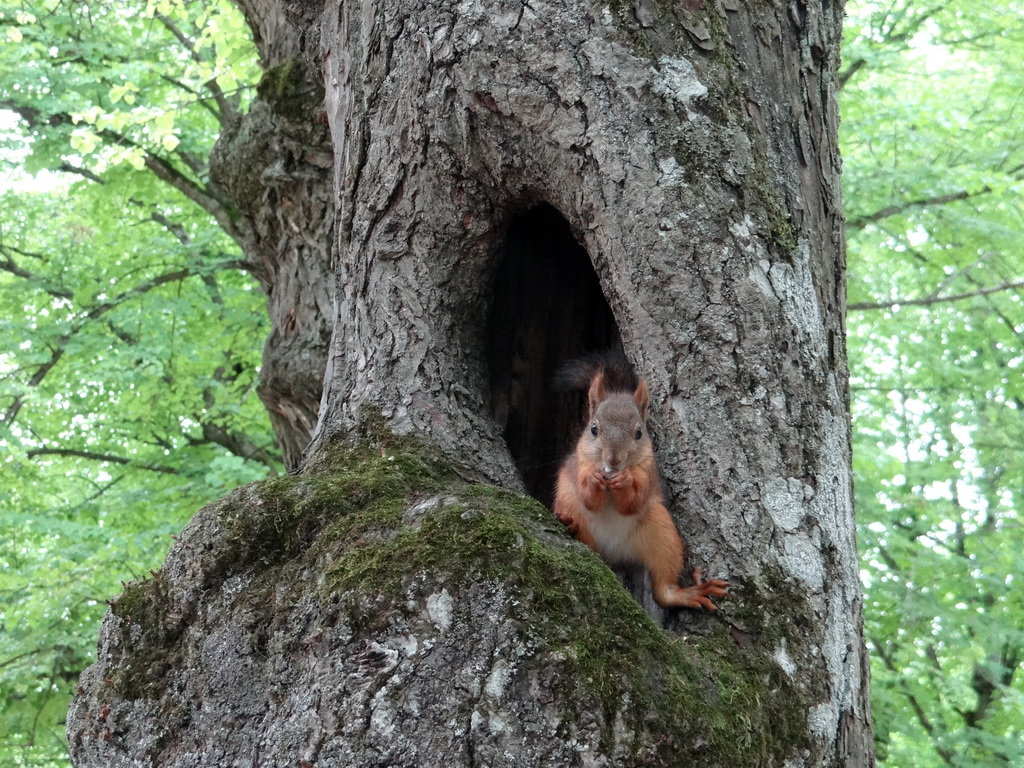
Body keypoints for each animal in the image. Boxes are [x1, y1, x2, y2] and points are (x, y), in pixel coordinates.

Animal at [552, 354, 729, 614]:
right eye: (593, 429)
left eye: (638, 433)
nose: (613, 460)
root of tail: (614, 555)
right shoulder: (580, 467)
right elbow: (589, 499)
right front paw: (594, 480)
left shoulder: (647, 475)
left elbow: (632, 503)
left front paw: (625, 481)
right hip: (569, 503)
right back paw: (571, 526)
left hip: (661, 532)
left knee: (663, 590)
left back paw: (688, 593)